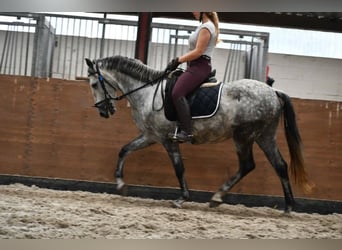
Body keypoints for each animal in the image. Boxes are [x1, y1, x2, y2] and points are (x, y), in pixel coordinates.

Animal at [85, 55, 312, 213]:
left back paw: (217, 197)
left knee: (248, 165)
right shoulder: (150, 136)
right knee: (280, 165)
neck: (147, 92)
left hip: (244, 136)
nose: (104, 111)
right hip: (264, 136)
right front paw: (121, 184)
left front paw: (182, 198)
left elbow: (179, 168)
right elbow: (124, 150)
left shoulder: (167, 139)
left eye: (94, 84)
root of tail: (273, 92)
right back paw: (288, 207)